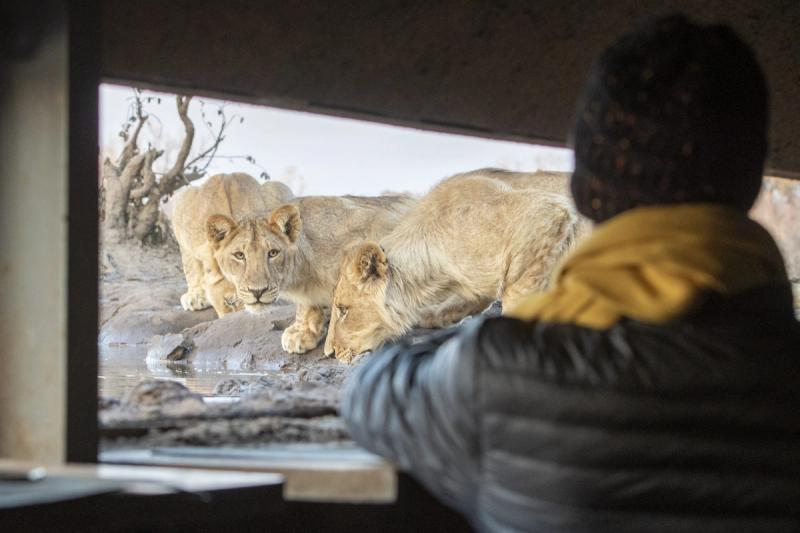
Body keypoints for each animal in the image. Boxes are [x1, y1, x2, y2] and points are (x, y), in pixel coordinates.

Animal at [205, 193, 418, 353]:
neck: (303, 272)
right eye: (239, 255)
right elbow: (306, 305)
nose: (257, 291)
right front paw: (303, 331)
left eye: (273, 253)